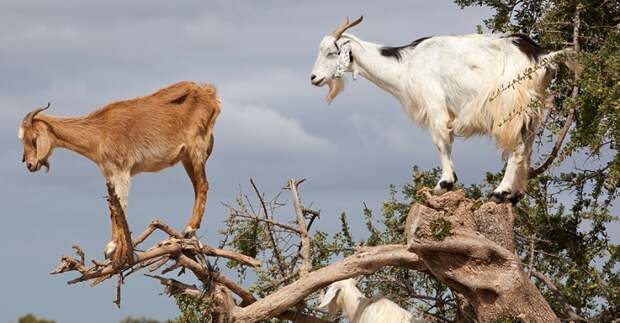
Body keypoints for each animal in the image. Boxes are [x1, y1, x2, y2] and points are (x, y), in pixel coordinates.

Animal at [18, 82, 220, 268]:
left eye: (32, 138)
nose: (29, 164)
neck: (99, 132)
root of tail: (209, 93)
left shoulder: (122, 171)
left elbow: (120, 208)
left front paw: (116, 250)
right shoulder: (109, 173)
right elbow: (112, 208)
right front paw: (112, 247)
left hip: (196, 147)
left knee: (203, 185)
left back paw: (189, 228)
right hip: (186, 157)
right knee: (197, 187)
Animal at [312, 16, 580, 204]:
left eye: (332, 52)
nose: (313, 78)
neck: (406, 64)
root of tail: (542, 56)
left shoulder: (435, 104)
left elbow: (441, 141)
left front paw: (444, 183)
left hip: (511, 108)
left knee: (517, 148)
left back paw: (500, 192)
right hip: (532, 111)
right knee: (527, 147)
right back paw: (515, 195)